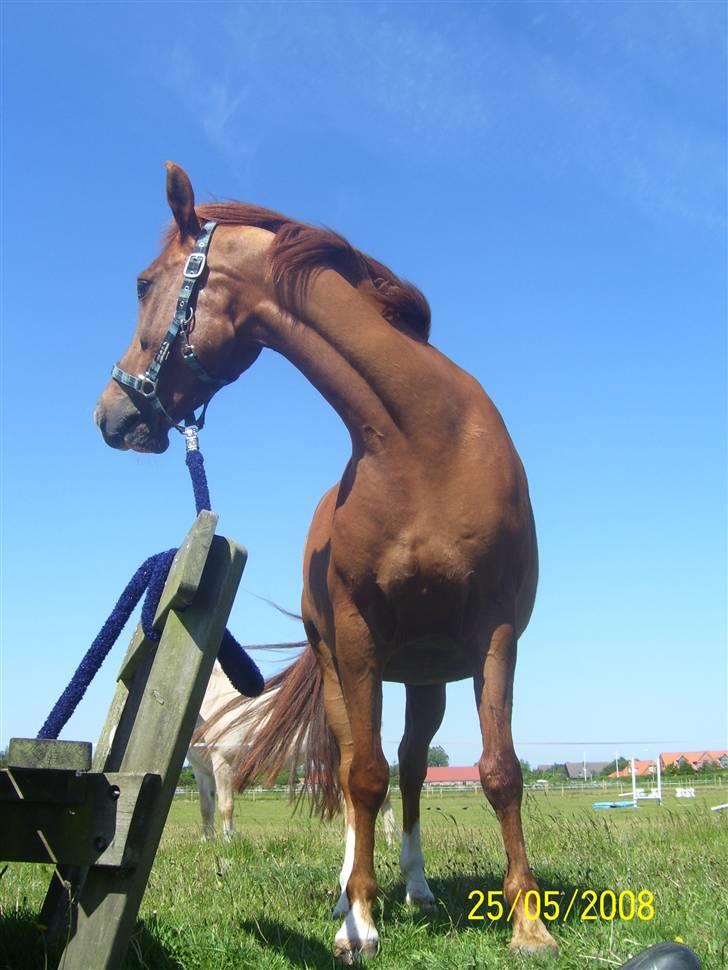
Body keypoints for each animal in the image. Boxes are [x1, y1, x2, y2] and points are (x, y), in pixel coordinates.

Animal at [95, 163, 556, 956]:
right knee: (352, 769)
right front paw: (359, 923)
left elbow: (500, 770)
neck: (424, 442)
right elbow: (362, 776)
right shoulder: (359, 634)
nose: (111, 415)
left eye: (143, 281)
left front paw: (528, 923)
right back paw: (353, 895)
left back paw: (418, 889)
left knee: (409, 767)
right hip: (345, 665)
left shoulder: (496, 632)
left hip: (427, 676)